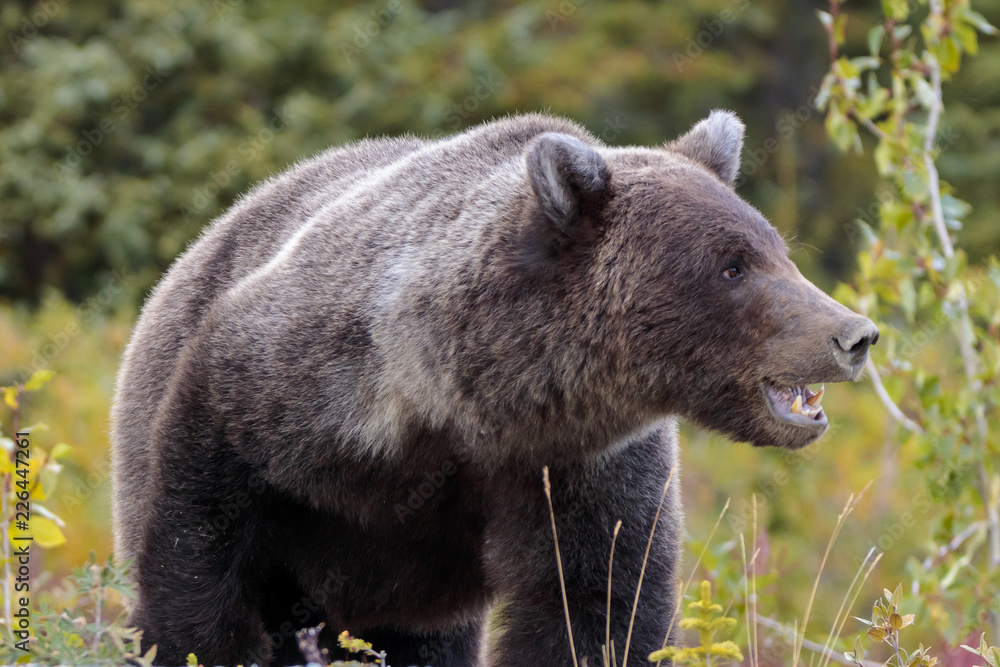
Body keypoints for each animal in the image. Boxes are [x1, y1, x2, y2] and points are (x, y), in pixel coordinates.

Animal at [110, 110, 878, 667]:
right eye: (732, 266)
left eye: (778, 250)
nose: (854, 334)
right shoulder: (289, 393)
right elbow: (202, 552)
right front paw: (206, 642)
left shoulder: (580, 468)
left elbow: (596, 605)